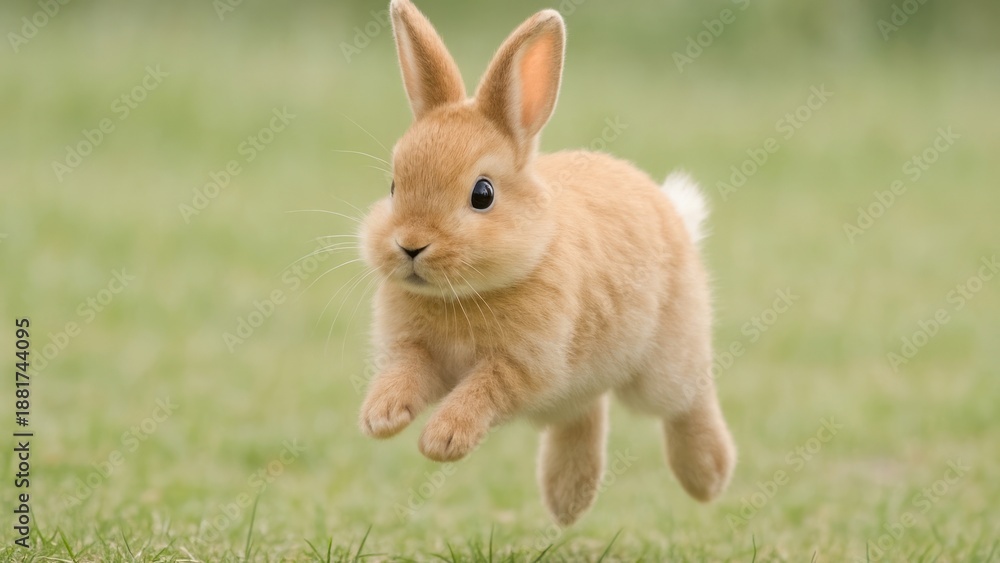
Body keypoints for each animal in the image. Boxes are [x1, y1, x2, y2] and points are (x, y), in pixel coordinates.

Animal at [357, 0, 736, 526]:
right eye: (394, 187)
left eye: (482, 194)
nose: (410, 246)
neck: (466, 293)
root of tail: (672, 212)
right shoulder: (416, 350)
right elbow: (405, 372)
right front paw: (380, 417)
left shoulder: (522, 365)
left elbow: (482, 391)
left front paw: (442, 440)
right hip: (582, 382)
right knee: (585, 414)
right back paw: (567, 502)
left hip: (662, 365)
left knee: (688, 399)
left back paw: (708, 477)